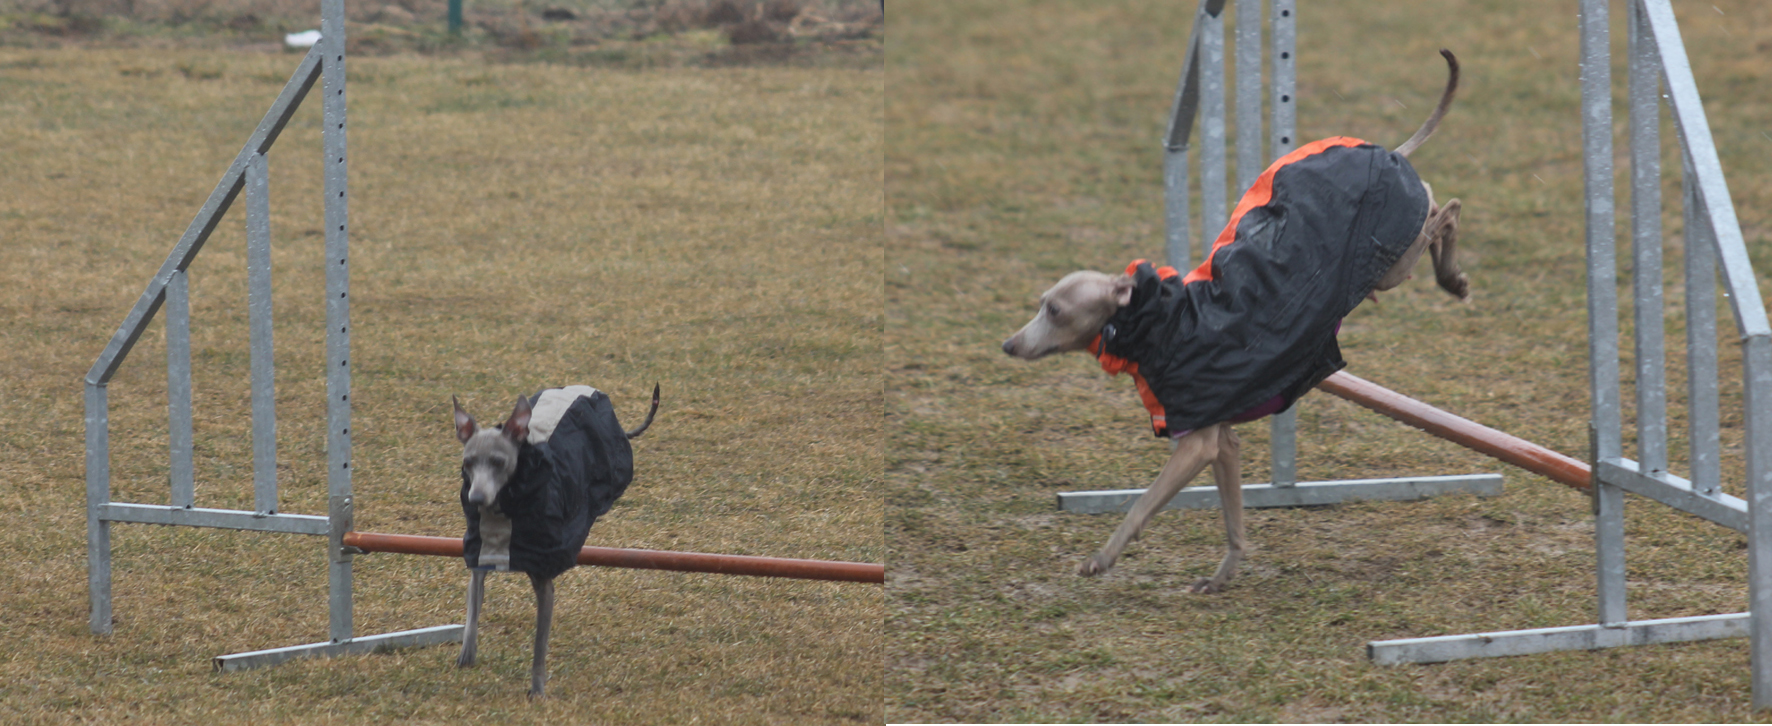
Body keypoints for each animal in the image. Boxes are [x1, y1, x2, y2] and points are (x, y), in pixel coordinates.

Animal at [450, 386, 659, 697]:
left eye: (499, 462)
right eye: (468, 463)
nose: (476, 498)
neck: (503, 514)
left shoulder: (544, 581)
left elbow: (539, 645)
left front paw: (537, 689)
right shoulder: (479, 560)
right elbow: (473, 611)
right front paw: (467, 654)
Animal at [1006, 52, 1460, 594]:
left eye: (1054, 310)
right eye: (1040, 303)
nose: (1009, 345)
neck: (1164, 324)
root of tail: (1389, 152)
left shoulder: (1195, 443)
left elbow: (1141, 506)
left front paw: (1102, 558)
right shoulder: (1223, 441)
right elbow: (1234, 521)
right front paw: (1223, 575)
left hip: (1393, 260)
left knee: (1445, 210)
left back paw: (1453, 275)